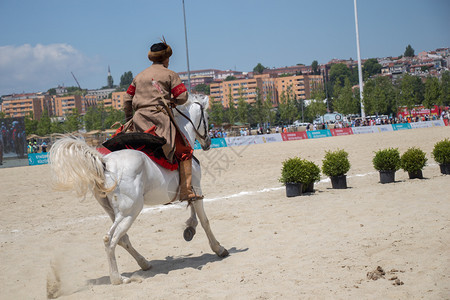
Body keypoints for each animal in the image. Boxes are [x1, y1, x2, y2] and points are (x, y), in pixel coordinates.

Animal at [49, 94, 229, 286]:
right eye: (207, 117)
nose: (208, 142)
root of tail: (105, 163)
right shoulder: (196, 187)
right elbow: (205, 221)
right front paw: (218, 248)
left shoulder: (190, 192)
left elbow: (193, 211)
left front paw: (190, 228)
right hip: (130, 211)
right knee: (110, 239)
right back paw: (117, 278)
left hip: (114, 212)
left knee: (122, 238)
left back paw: (144, 263)